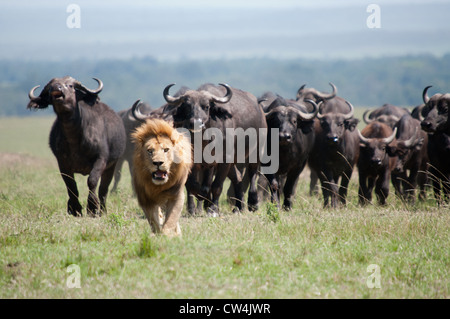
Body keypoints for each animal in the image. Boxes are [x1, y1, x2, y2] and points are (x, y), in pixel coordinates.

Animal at [27, 77, 125, 218]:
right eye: (50, 87)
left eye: (70, 86)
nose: (56, 88)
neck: (74, 137)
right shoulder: (62, 163)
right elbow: (71, 186)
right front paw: (75, 208)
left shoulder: (101, 159)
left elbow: (92, 181)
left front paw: (92, 207)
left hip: (112, 166)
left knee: (103, 190)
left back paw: (102, 210)